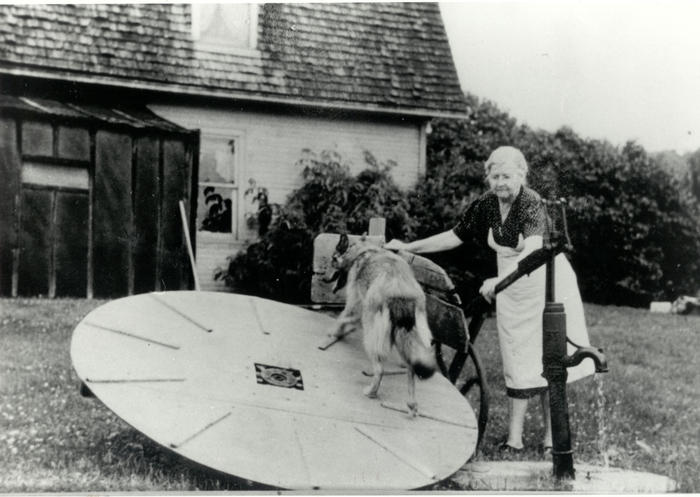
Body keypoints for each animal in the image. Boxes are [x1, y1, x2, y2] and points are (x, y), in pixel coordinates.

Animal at [326, 232, 434, 414]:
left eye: (333, 259)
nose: (324, 277)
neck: (362, 250)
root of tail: (402, 294)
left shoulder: (354, 303)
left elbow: (342, 318)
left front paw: (335, 332)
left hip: (371, 336)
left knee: (380, 369)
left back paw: (371, 392)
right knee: (411, 370)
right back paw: (411, 405)